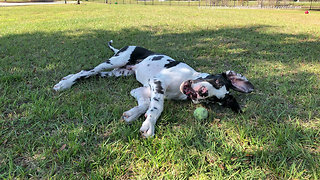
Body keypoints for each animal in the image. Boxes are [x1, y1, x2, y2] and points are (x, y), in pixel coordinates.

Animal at [53, 40, 254, 136]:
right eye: (217, 82)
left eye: (213, 101)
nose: (201, 93)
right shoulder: (158, 82)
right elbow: (157, 107)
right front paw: (149, 124)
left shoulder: (144, 89)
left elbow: (145, 104)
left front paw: (132, 114)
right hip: (114, 61)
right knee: (87, 70)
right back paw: (64, 83)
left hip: (117, 72)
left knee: (89, 74)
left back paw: (66, 79)